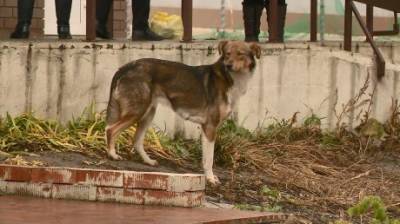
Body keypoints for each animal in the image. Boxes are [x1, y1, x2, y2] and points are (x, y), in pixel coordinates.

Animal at [104, 40, 260, 184]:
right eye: (227, 54)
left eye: (240, 54)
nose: (228, 65)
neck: (230, 78)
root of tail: (125, 67)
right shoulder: (210, 127)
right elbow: (209, 159)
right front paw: (210, 178)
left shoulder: (208, 129)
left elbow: (206, 157)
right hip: (137, 111)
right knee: (111, 129)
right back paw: (113, 155)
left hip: (148, 114)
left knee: (136, 140)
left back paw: (148, 161)